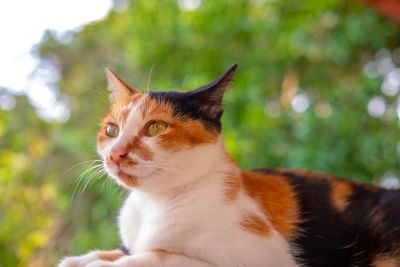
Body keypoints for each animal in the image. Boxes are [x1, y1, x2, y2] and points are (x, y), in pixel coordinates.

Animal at [59, 65, 400, 267]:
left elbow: (158, 256)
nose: (115, 153)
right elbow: (125, 250)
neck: (154, 204)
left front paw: (104, 262)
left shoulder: (263, 258)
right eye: (111, 130)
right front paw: (82, 259)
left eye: (155, 127)